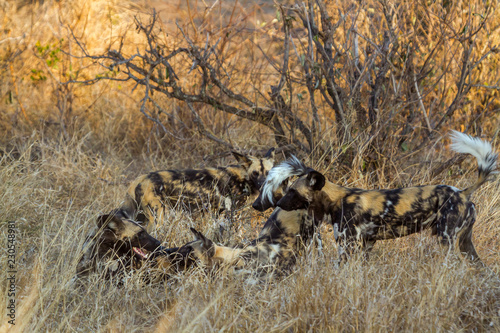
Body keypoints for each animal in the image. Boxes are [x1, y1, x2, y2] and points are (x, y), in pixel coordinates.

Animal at [116, 148, 276, 228]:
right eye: (255, 173)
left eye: (269, 172)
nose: (263, 185)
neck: (242, 178)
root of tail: (140, 179)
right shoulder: (231, 214)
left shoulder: (216, 214)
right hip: (158, 217)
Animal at [276, 130, 498, 262]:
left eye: (292, 191)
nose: (277, 202)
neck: (335, 200)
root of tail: (462, 192)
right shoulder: (366, 244)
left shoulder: (348, 245)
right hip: (465, 245)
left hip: (447, 240)